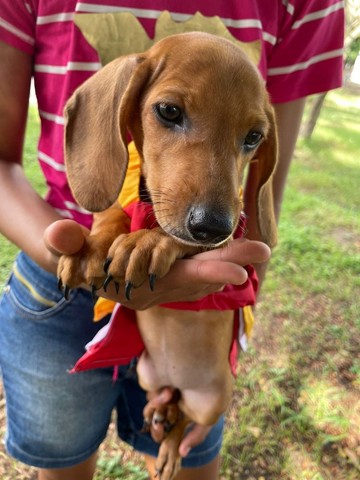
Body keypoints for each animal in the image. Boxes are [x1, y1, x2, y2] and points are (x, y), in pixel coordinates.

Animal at [58, 31, 278, 478]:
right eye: (169, 111)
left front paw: (149, 243)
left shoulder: (232, 240)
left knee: (187, 421)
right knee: (166, 400)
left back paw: (171, 443)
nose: (212, 225)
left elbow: (182, 239)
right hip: (146, 375)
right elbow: (114, 213)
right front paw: (93, 246)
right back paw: (159, 414)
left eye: (254, 137)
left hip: (211, 401)